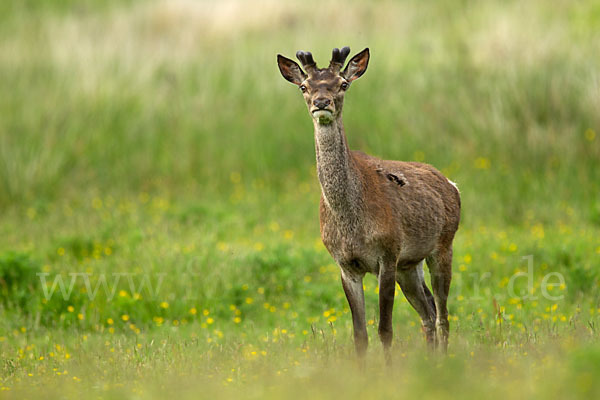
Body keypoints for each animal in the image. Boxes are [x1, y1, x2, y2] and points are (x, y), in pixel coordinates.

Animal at [278, 45, 462, 364]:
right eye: (304, 86)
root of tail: (452, 184)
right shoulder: (345, 264)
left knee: (442, 313)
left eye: (343, 84)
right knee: (427, 309)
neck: (351, 224)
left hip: (442, 246)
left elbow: (385, 329)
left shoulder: (387, 254)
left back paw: (442, 360)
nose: (321, 102)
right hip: (409, 264)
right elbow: (360, 335)